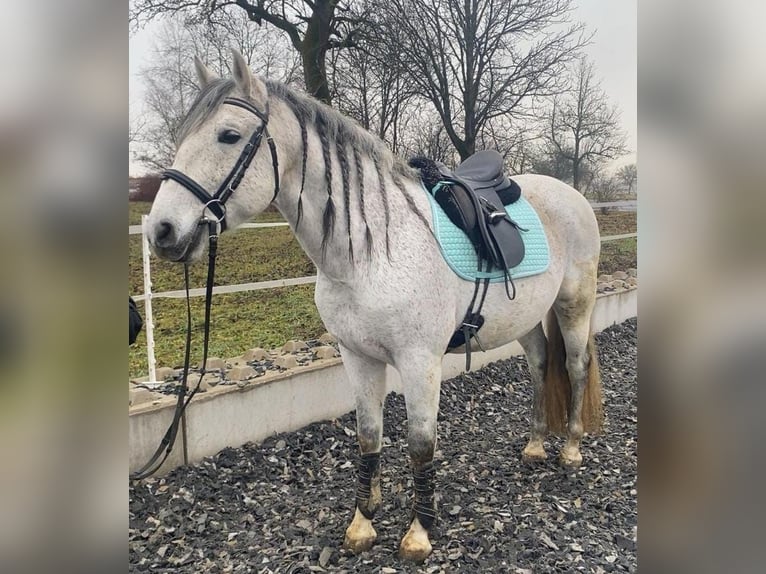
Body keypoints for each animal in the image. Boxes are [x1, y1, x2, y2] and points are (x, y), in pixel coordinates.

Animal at [146, 50, 603, 561]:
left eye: (229, 135)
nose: (161, 231)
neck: (371, 251)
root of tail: (570, 193)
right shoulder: (358, 356)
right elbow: (368, 436)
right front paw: (363, 522)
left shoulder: (420, 362)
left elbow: (421, 444)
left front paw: (418, 533)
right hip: (526, 318)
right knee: (541, 365)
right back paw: (536, 444)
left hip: (575, 304)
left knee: (576, 365)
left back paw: (570, 449)